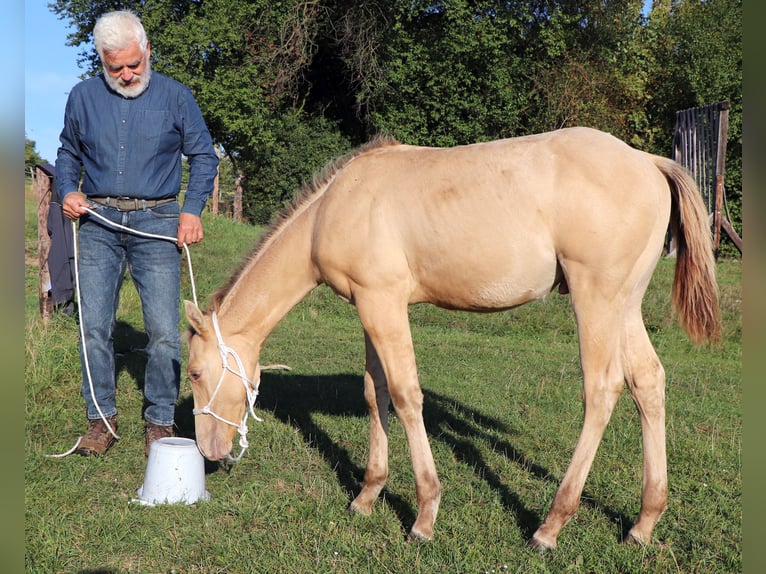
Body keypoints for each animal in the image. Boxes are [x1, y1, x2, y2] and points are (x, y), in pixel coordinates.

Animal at [184, 128, 720, 552]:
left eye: (194, 372)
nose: (209, 452)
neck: (335, 207)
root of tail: (648, 161)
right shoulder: (369, 307)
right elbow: (375, 393)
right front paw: (367, 495)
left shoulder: (383, 304)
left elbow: (406, 396)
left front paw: (424, 516)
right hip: (625, 306)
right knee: (647, 381)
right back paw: (644, 524)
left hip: (597, 301)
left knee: (602, 390)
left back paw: (549, 527)